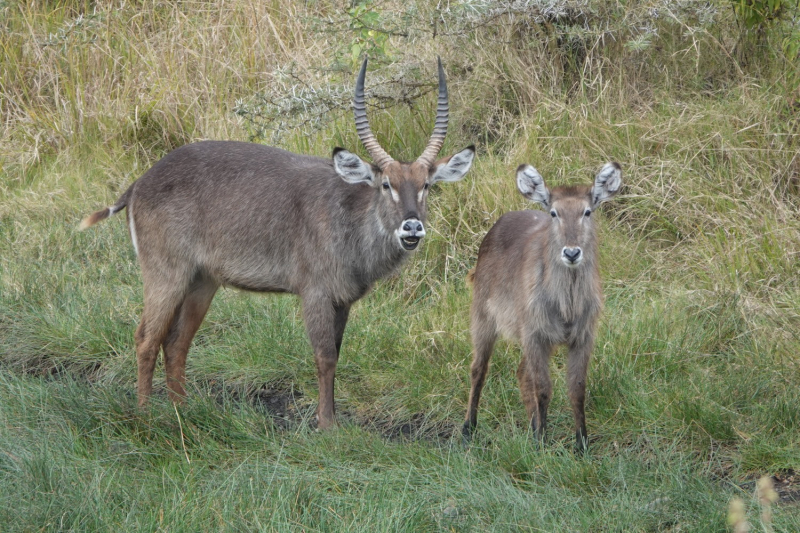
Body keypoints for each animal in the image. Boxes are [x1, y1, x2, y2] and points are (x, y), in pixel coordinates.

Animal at [79, 58, 476, 426]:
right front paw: (327, 426)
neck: (350, 219)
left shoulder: (343, 300)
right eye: (385, 184)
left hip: (202, 281)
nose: (412, 228)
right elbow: (324, 357)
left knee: (176, 343)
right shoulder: (315, 292)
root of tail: (139, 182)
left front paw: (330, 420)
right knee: (146, 338)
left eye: (427, 185)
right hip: (166, 274)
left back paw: (182, 411)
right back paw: (146, 415)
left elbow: (337, 352)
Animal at [462, 161, 620, 448]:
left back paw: (531, 425)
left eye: (587, 211)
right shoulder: (535, 335)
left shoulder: (582, 337)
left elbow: (577, 389)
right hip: (483, 318)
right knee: (478, 369)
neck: (567, 306)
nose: (571, 252)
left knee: (521, 372)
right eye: (555, 213)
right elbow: (544, 388)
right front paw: (541, 443)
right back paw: (468, 427)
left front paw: (581, 444)